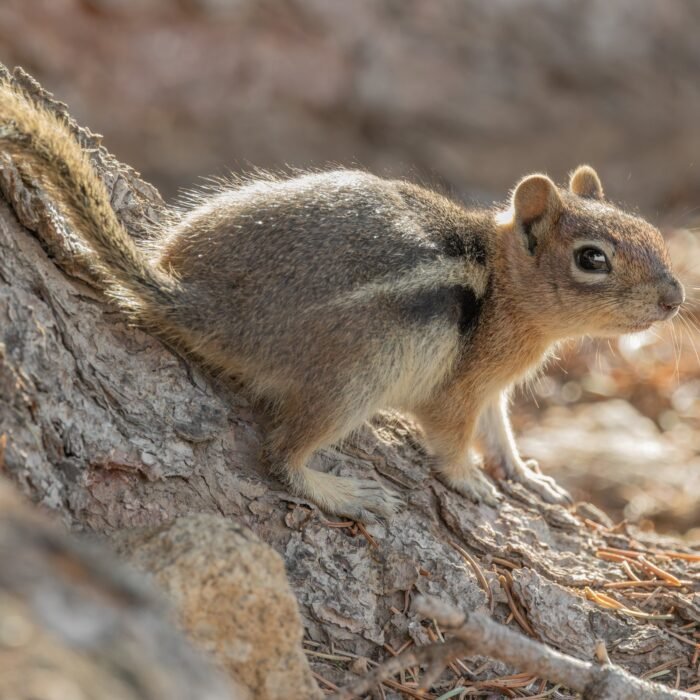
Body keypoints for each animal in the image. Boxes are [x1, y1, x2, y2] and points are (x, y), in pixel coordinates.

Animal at [0, 81, 685, 522]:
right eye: (592, 259)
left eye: (649, 232)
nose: (676, 298)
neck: (501, 285)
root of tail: (199, 302)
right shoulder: (458, 390)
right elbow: (454, 440)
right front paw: (471, 483)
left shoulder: (490, 390)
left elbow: (501, 433)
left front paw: (527, 477)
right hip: (358, 374)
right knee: (280, 454)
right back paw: (343, 494)